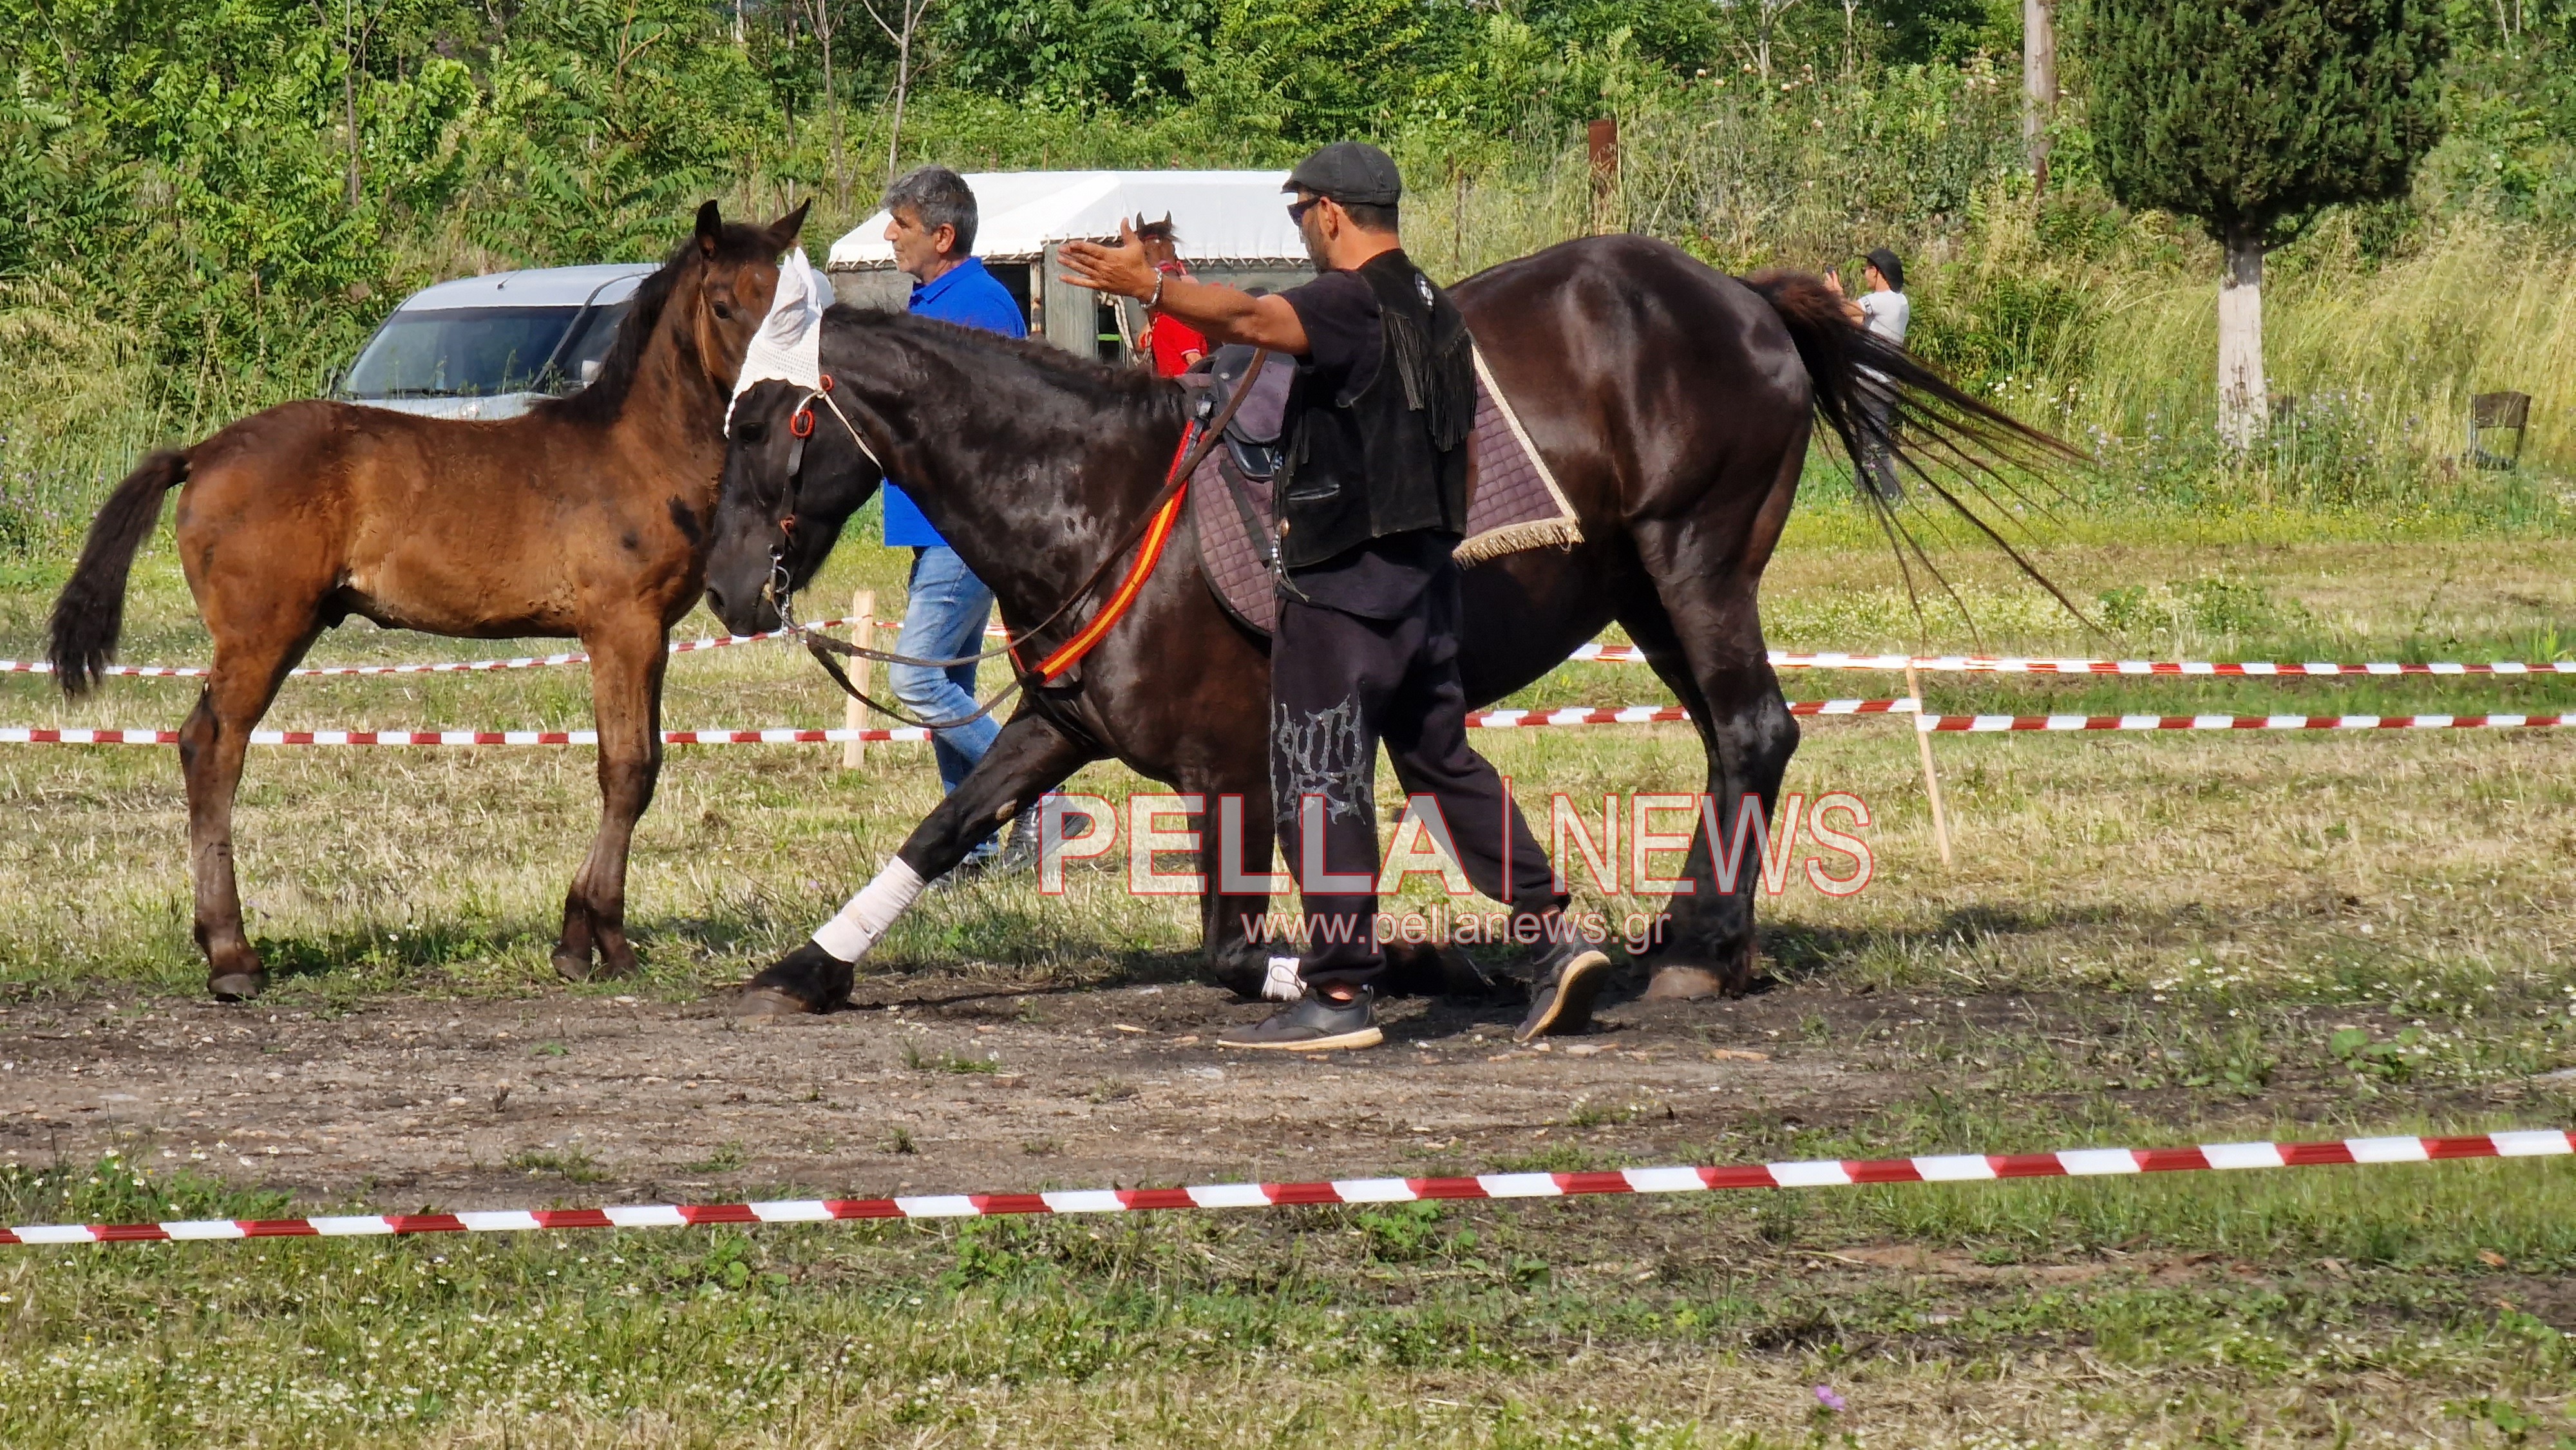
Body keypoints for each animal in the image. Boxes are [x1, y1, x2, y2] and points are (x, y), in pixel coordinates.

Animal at [53, 201, 814, 999]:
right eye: (724, 303)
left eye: (791, 303)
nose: (782, 402)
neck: (636, 453)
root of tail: (203, 453)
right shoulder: (621, 626)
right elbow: (627, 768)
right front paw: (602, 940)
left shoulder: (654, 633)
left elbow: (649, 761)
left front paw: (580, 933)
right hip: (262, 631)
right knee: (212, 744)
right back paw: (232, 956)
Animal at [696, 236, 2061, 1010]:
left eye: (765, 422)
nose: (722, 586)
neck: (1104, 497)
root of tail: (1742, 295)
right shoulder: (1059, 727)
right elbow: (941, 829)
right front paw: (814, 964)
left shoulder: (1229, 769)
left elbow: (1232, 951)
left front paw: (1424, 963)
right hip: (1645, 589)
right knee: (1737, 740)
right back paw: (1708, 942)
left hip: (1697, 562)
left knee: (1757, 729)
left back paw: (1695, 946)